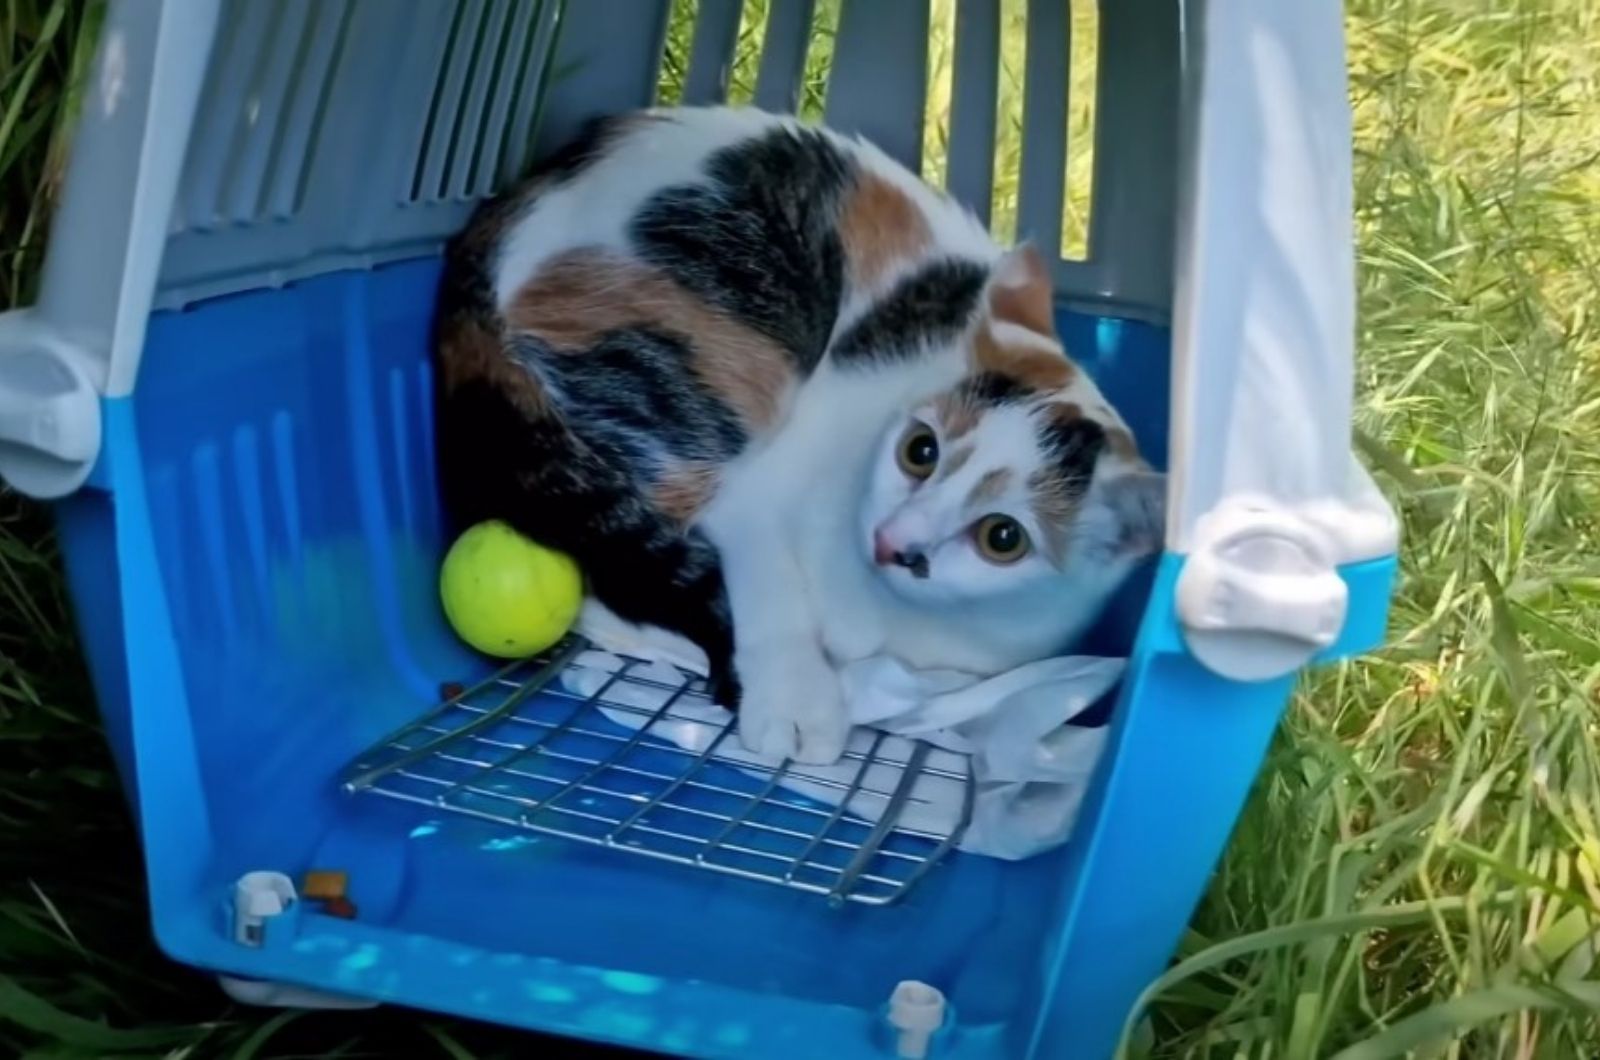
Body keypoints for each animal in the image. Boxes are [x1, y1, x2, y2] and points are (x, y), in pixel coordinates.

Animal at [438, 105, 1164, 765]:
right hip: (709, 357)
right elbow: (767, 580)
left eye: (1003, 538)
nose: (895, 543)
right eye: (920, 451)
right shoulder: (755, 491)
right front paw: (795, 699)